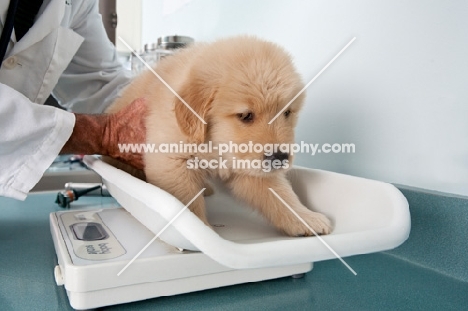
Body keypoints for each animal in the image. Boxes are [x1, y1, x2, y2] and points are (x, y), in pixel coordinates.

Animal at [107, 36, 330, 236]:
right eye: (245, 115)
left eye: (287, 113)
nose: (280, 158)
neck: (215, 145)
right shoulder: (171, 161)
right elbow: (187, 202)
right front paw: (202, 229)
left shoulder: (249, 166)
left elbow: (281, 194)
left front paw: (305, 218)